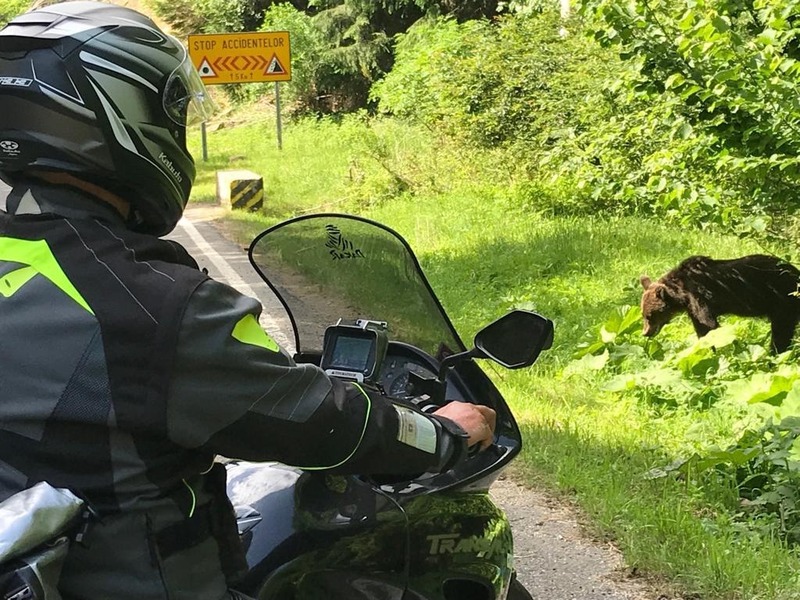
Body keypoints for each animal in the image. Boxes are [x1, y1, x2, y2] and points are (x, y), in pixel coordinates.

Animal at [640, 255, 800, 354]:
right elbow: (702, 330)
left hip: (784, 301)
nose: (645, 332)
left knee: (781, 332)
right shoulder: (693, 308)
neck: (681, 292)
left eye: (650, 315)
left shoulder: (699, 299)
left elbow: (710, 327)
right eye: (643, 315)